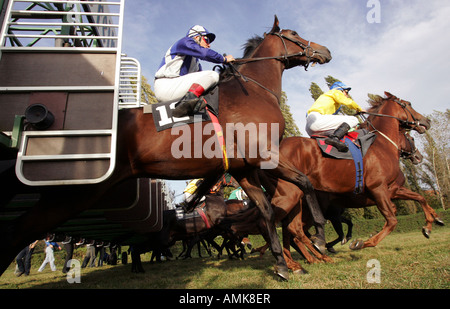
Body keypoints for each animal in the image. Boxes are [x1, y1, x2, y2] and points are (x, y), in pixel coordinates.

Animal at [0, 15, 330, 280]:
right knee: (18, 232)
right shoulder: (264, 155)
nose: (325, 50)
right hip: (76, 193)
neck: (251, 90)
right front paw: (319, 237)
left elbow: (266, 211)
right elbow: (305, 182)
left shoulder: (244, 167)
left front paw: (283, 265)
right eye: (295, 33)